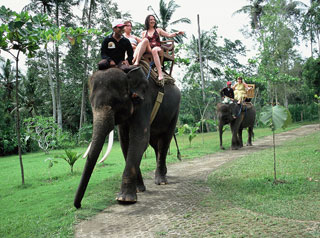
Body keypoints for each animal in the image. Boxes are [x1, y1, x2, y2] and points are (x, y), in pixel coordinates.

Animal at [74, 67, 181, 208]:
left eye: (115, 102)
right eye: (91, 104)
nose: (78, 205)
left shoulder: (144, 102)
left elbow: (139, 139)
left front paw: (124, 199)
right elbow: (125, 142)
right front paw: (139, 189)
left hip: (175, 112)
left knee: (164, 141)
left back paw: (161, 181)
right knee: (155, 144)